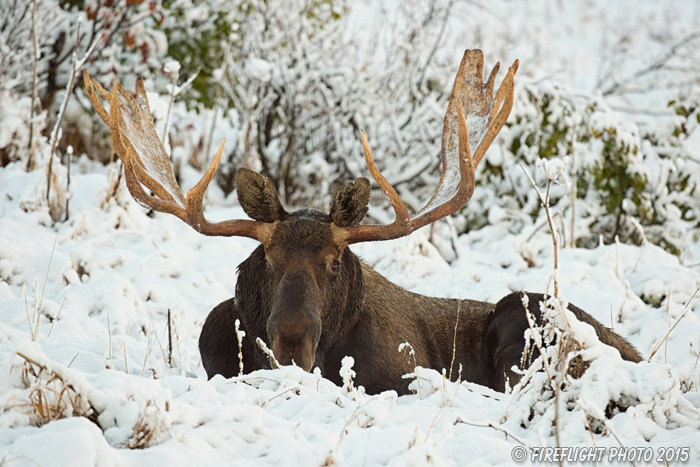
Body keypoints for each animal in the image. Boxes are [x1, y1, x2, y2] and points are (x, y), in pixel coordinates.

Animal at [82, 50, 640, 394]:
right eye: (268, 258)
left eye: (333, 262)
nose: (292, 340)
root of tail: (635, 357)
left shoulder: (402, 373)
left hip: (525, 313)